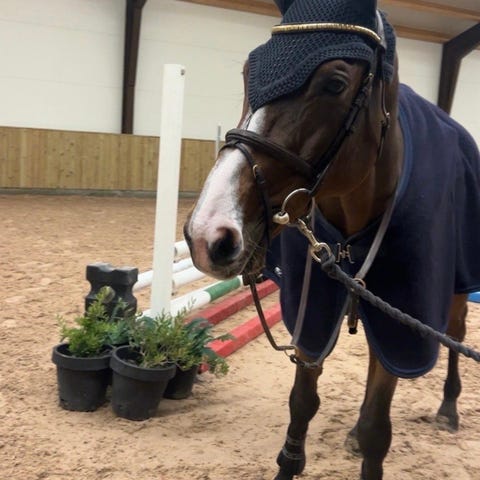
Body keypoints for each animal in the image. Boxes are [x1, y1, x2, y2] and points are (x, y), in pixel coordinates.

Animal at [183, 0, 480, 478]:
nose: (208, 234)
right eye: (248, 72)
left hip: (454, 290)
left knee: (456, 332)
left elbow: (380, 428)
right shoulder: (314, 313)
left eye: (335, 84)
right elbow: (302, 405)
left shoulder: (402, 315)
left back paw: (449, 408)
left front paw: (372, 435)